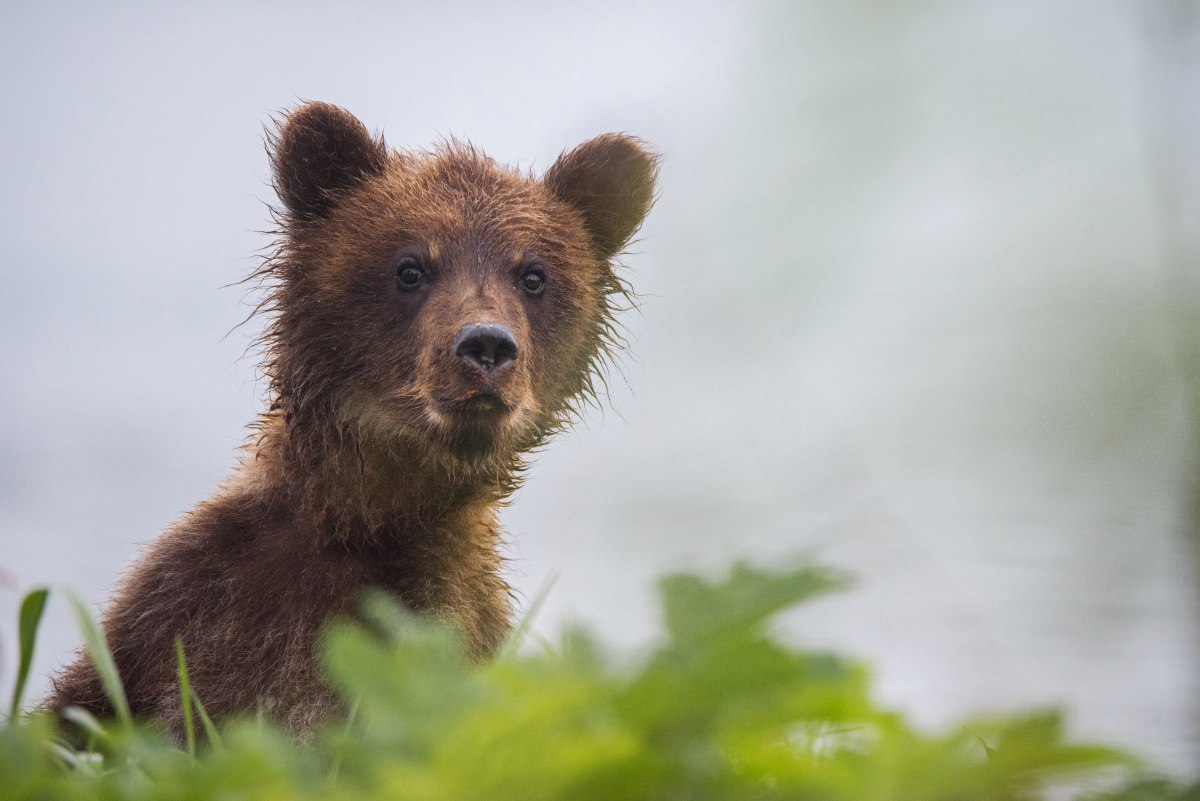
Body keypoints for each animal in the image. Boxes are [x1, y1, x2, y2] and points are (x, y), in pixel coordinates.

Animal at [49, 103, 657, 743]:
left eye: (533, 275)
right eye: (411, 267)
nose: (487, 345)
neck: (365, 519)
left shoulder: (442, 628)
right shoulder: (183, 610)